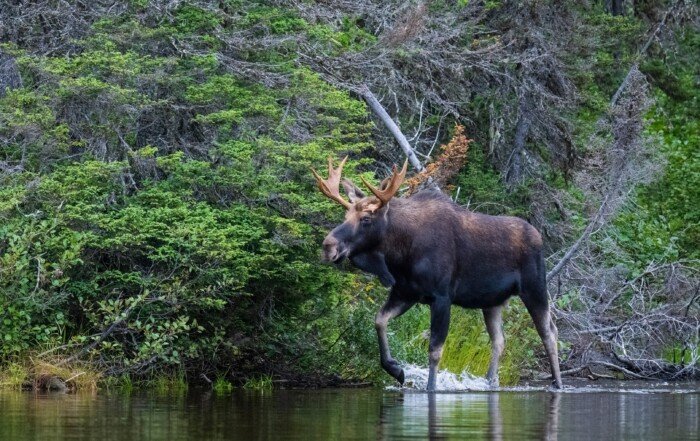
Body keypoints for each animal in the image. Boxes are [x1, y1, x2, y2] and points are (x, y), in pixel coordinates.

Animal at [314, 156, 568, 390]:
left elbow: (435, 349)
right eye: (345, 216)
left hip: (535, 287)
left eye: (366, 219)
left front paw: (430, 387)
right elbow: (379, 320)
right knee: (499, 340)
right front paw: (396, 369)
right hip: (492, 301)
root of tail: (538, 236)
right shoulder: (405, 293)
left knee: (549, 332)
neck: (400, 253)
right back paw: (490, 382)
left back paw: (557, 383)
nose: (328, 246)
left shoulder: (442, 296)